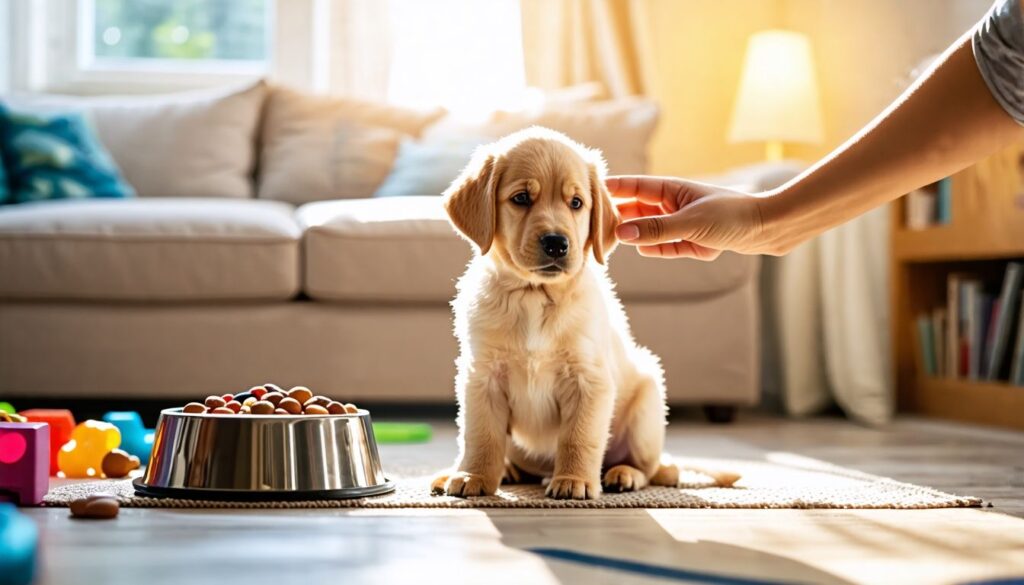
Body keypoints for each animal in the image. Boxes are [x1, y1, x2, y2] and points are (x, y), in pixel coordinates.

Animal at [432, 127, 679, 499]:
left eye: (576, 203)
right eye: (521, 198)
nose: (556, 243)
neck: (534, 296)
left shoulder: (588, 379)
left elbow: (579, 437)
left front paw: (574, 480)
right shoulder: (482, 375)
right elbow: (481, 435)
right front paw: (473, 475)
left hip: (648, 404)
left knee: (654, 467)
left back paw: (623, 474)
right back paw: (503, 470)